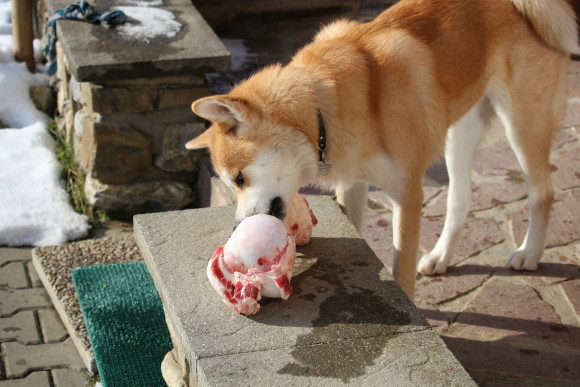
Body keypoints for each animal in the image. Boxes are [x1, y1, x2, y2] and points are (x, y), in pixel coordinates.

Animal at [188, 0, 576, 300]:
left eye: (239, 178)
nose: (238, 226)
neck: (327, 106)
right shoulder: (354, 185)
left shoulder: (407, 195)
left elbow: (401, 267)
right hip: (459, 135)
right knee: (460, 199)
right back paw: (441, 255)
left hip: (522, 126)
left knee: (543, 192)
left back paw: (528, 252)